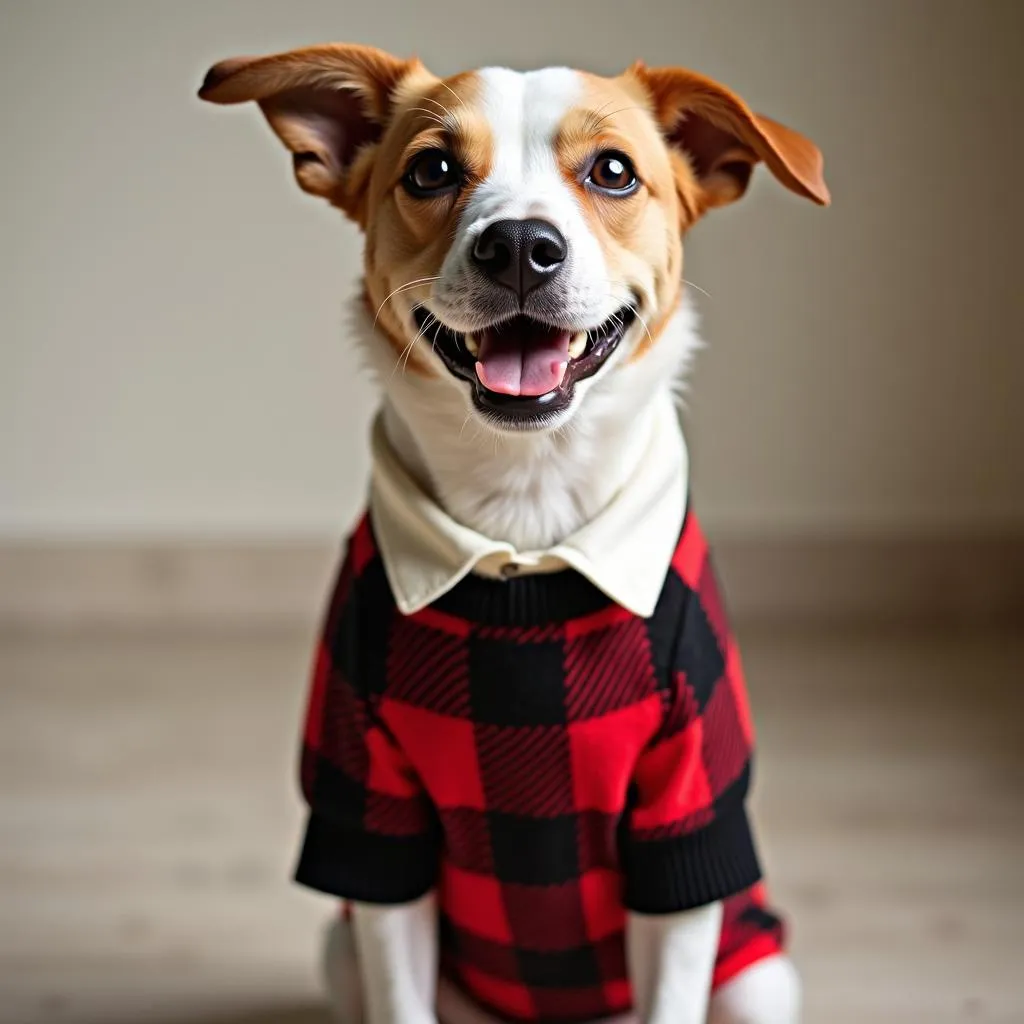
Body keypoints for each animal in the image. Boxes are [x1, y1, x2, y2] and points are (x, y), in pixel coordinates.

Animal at [197, 41, 823, 1024]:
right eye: (431, 170)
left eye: (614, 172)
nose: (522, 246)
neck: (528, 517)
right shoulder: (371, 812)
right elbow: (398, 978)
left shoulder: (689, 813)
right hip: (341, 949)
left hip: (758, 976)